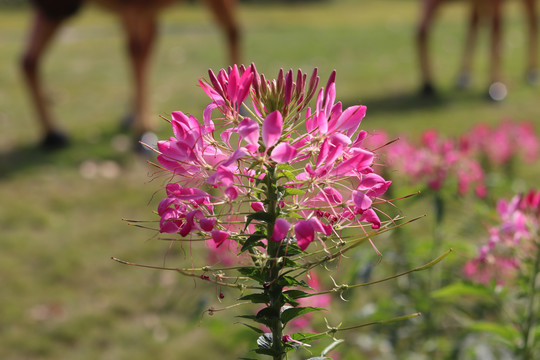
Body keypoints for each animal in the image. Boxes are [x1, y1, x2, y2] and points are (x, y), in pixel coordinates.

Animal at [20, 0, 240, 149]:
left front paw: (142, 128)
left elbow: (138, 52)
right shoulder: (134, 9)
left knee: (232, 30)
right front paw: (141, 127)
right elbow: (137, 51)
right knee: (29, 59)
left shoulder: (138, 8)